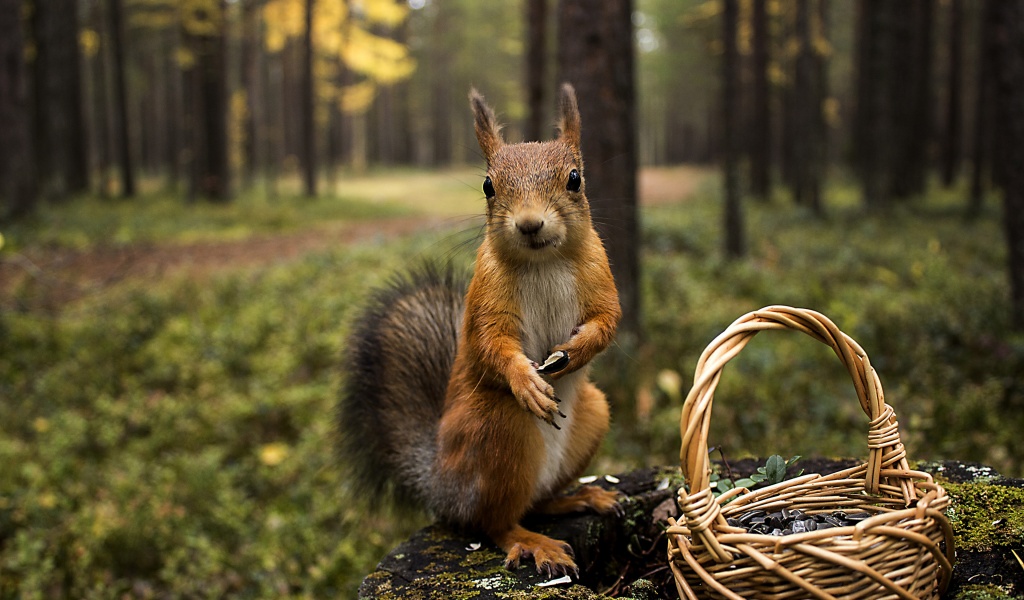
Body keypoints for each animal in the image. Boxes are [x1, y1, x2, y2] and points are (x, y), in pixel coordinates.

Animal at [339, 82, 618, 573]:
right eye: (489, 185)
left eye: (575, 179)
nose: (529, 224)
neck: (544, 261)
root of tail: (441, 485)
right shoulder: (486, 295)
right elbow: (491, 343)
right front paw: (526, 380)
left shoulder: (600, 277)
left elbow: (607, 320)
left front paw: (575, 352)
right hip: (497, 429)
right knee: (493, 522)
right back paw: (532, 541)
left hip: (593, 414)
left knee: (535, 502)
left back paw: (578, 498)